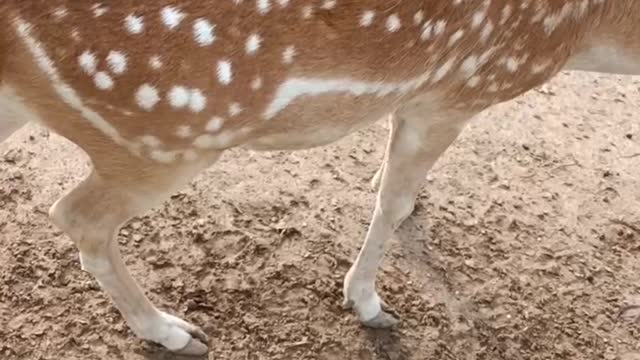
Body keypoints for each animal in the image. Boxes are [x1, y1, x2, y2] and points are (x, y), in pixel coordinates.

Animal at [1, 0, 640, 356]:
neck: (589, 36)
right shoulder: (463, 88)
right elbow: (393, 199)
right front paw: (368, 303)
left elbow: (395, 185)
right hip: (166, 135)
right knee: (76, 215)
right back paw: (174, 333)